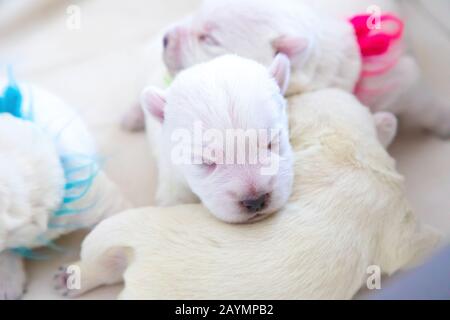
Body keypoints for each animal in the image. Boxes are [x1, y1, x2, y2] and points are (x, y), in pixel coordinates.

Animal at [54, 88, 438, 300]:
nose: (291, 91)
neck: (345, 147)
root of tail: (139, 275)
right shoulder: (396, 222)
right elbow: (415, 245)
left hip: (125, 228)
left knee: (106, 262)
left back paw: (75, 277)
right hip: (125, 226)